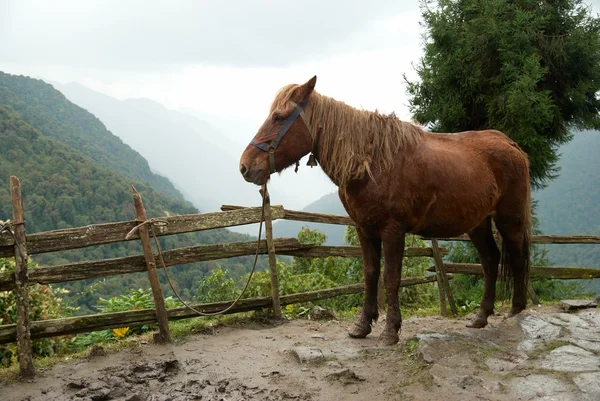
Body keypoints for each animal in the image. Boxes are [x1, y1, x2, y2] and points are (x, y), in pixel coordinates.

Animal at [237, 75, 532, 344]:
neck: (370, 162)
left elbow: (391, 277)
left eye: (278, 117)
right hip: (478, 224)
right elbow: (371, 274)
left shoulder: (392, 230)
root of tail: (511, 144)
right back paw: (481, 316)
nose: (245, 166)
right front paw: (363, 325)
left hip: (510, 219)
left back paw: (516, 311)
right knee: (490, 261)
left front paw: (391, 330)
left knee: (517, 258)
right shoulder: (364, 229)